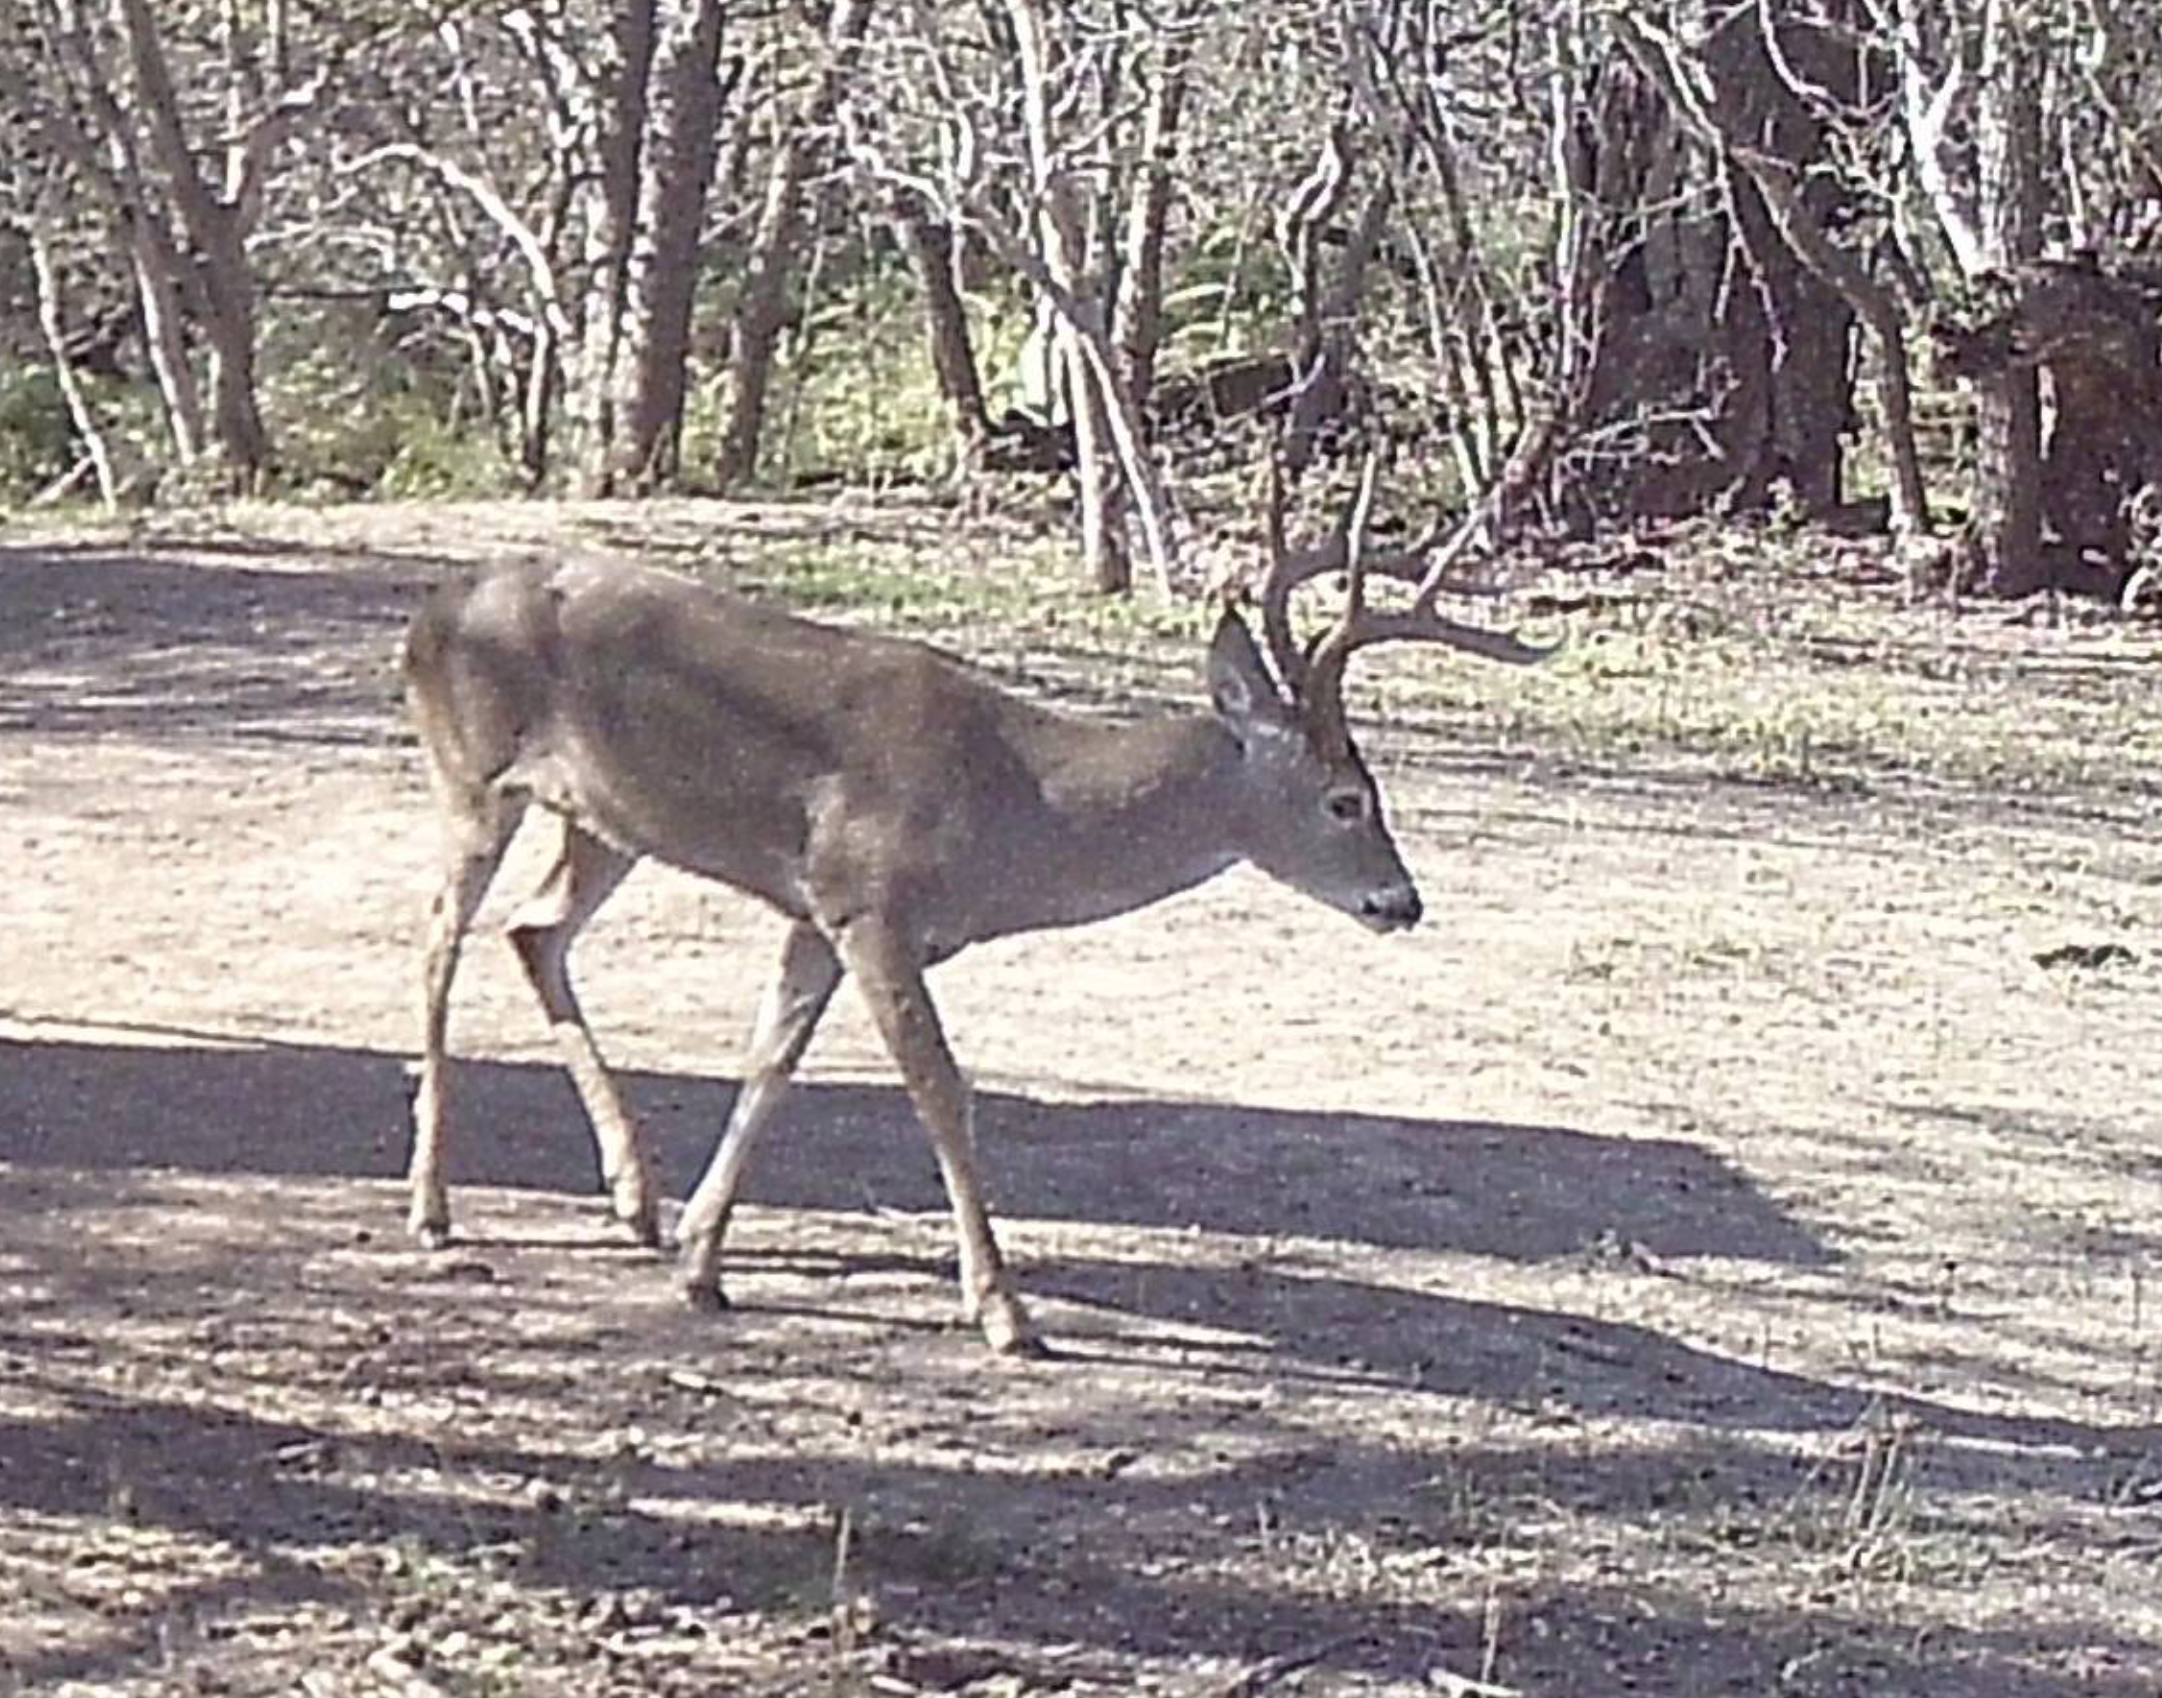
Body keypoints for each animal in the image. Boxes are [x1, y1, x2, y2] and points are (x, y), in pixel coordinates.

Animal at [401, 472, 1549, 1355]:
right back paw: (432, 1207)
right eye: (1346, 798)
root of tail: (431, 611)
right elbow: (942, 1091)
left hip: (606, 822)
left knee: (533, 930)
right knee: (439, 940)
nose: (1401, 901)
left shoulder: (816, 911)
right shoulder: (869, 905)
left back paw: (632, 1197)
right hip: (474, 776)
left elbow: (768, 1063)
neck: (1014, 801)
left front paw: (698, 1260)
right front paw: (1004, 1312)